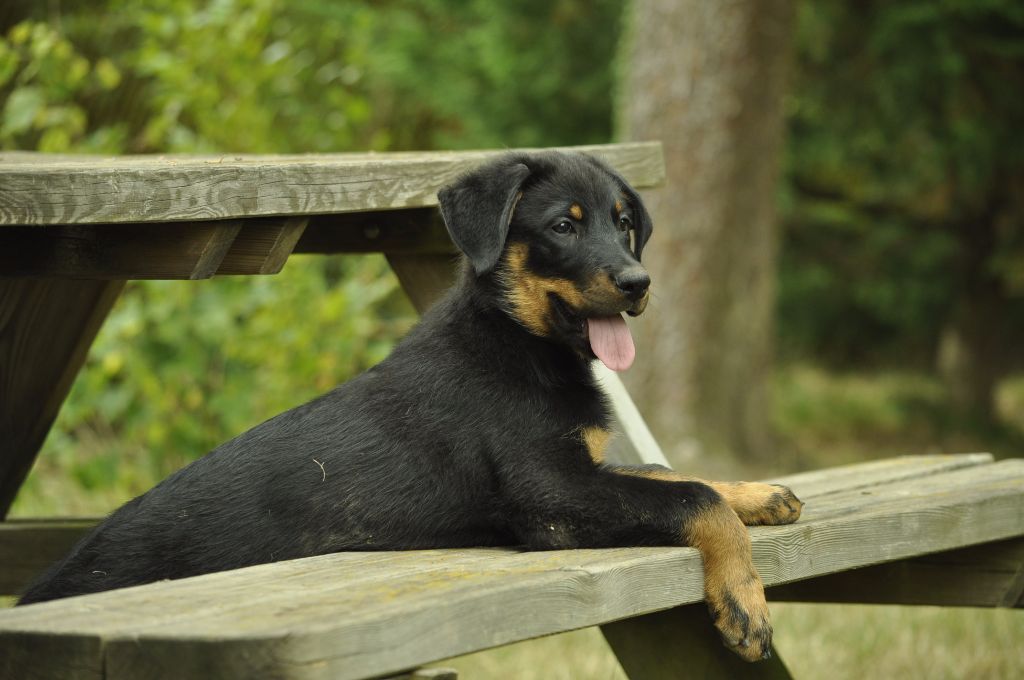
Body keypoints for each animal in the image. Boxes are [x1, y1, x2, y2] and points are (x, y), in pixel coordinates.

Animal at [16, 151, 798, 659]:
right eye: (564, 226)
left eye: (623, 221)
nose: (638, 282)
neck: (519, 342)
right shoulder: (550, 496)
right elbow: (691, 495)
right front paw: (744, 602)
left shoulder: (583, 471)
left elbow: (668, 473)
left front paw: (760, 494)